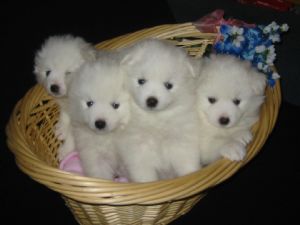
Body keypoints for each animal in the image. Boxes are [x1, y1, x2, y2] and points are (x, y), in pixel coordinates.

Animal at [118, 39, 203, 183]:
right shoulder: (138, 149)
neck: (156, 119)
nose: (151, 101)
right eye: (141, 81)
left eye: (168, 85)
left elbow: (187, 164)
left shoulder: (182, 142)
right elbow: (144, 174)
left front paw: (191, 176)